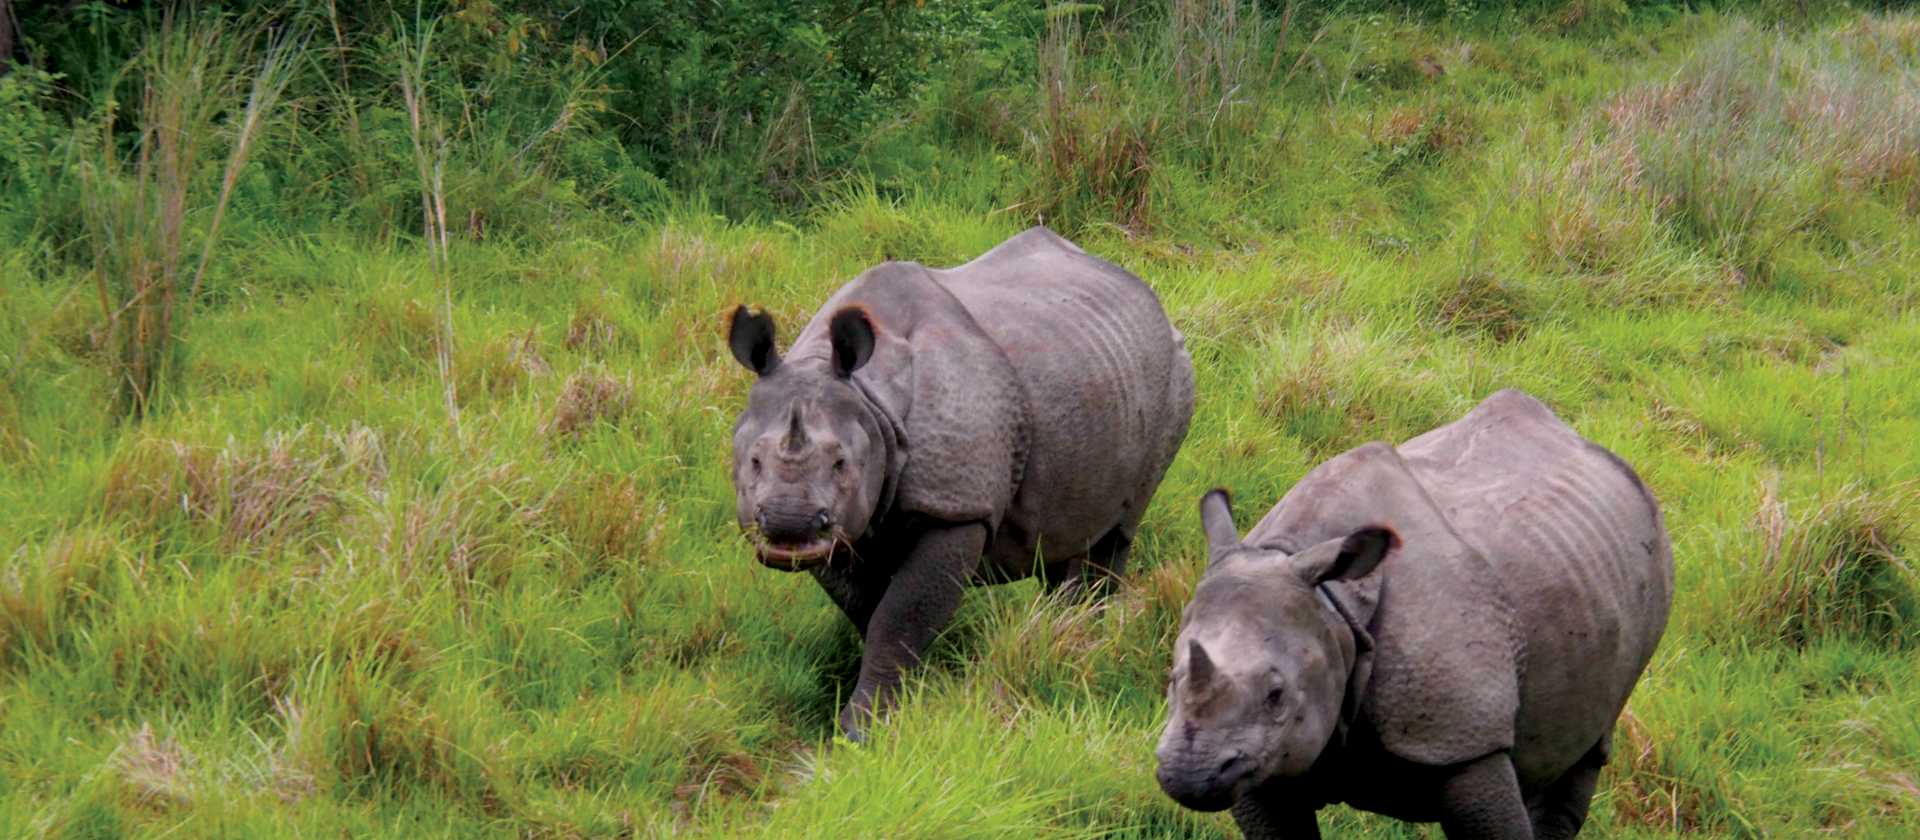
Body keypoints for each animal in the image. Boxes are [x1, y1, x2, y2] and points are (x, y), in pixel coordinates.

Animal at [726, 226, 1195, 739]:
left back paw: (1085, 640)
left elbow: (900, 616)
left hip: (1175, 374)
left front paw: (863, 730)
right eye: (752, 462)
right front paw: (910, 698)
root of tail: (1150, 297)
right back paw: (1059, 635)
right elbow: (869, 611)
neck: (872, 399)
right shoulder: (845, 528)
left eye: (841, 463)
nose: (789, 524)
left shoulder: (956, 510)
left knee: (1119, 530)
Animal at [1155, 389, 1673, 839]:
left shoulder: (1466, 739)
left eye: (1276, 695)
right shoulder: (1263, 765)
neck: (1336, 607)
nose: (1187, 772)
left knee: (1587, 751)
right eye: (1172, 679)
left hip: (1652, 565)